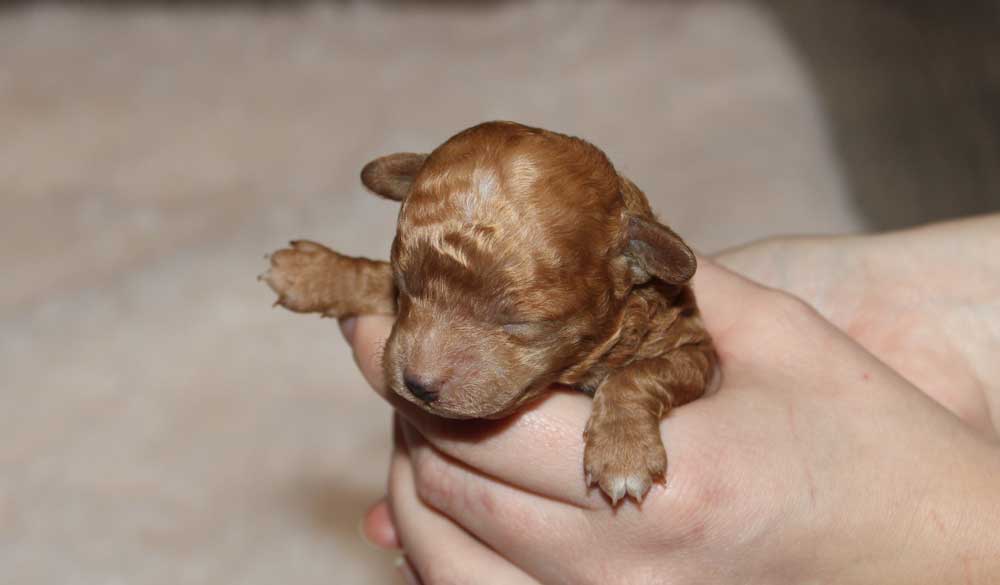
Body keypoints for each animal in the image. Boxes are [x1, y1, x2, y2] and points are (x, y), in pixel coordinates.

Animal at [262, 122, 716, 502]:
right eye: (405, 284)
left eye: (520, 322)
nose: (419, 386)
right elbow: (373, 277)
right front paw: (316, 272)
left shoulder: (696, 350)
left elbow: (639, 374)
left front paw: (623, 452)